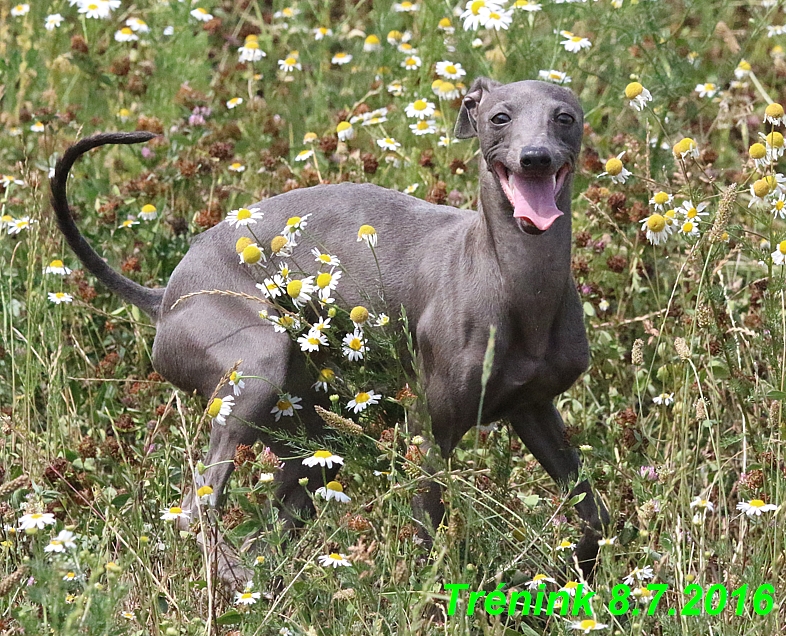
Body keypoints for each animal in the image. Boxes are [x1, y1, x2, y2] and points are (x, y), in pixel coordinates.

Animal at [50, 77, 608, 584]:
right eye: (499, 117)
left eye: (564, 117)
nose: (535, 158)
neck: (515, 282)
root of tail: (164, 297)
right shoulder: (430, 426)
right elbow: (425, 532)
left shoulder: (533, 409)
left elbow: (595, 514)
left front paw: (577, 574)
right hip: (255, 367)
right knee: (196, 507)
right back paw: (236, 579)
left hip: (313, 438)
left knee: (274, 521)